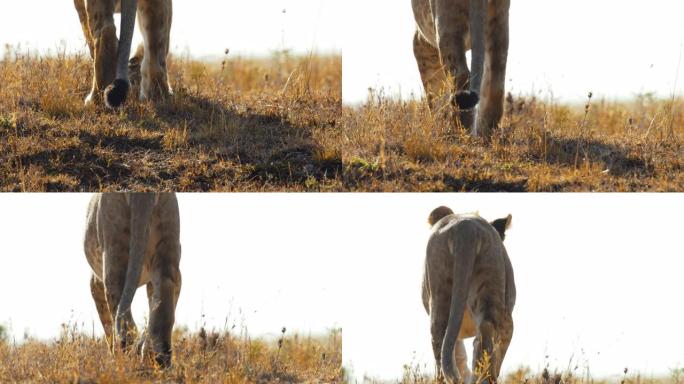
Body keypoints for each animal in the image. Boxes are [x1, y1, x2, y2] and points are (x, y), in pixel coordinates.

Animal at [84, 192, 182, 366]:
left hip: (114, 244)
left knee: (121, 315)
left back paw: (127, 360)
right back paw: (159, 361)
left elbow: (107, 325)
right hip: (167, 239)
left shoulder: (95, 282)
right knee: (163, 306)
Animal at [408, 0, 510, 138]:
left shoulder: (423, 44)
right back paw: (485, 133)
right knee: (496, 84)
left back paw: (459, 130)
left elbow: (434, 92)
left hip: (447, 22)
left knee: (462, 75)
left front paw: (438, 124)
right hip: (499, 21)